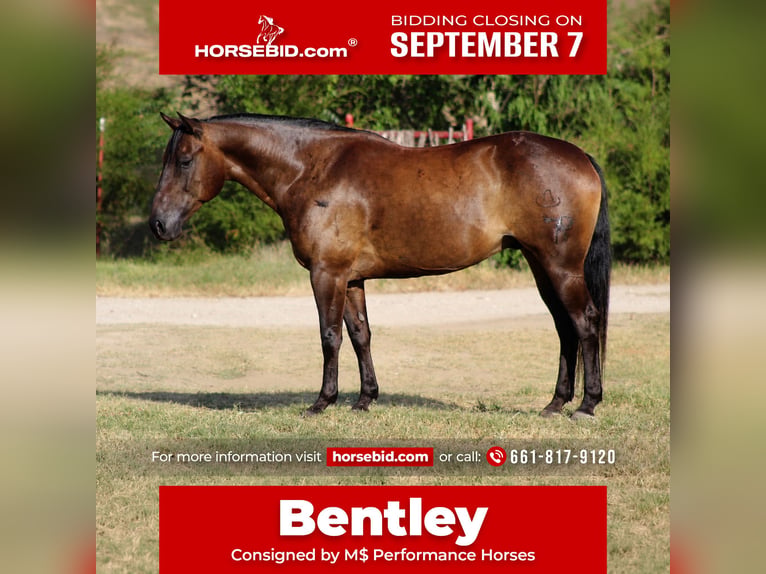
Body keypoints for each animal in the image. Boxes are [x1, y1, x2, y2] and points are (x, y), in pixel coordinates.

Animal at [150, 112, 611, 419]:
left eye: (184, 160)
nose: (158, 224)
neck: (312, 169)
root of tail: (580, 156)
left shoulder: (327, 274)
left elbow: (330, 336)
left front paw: (322, 402)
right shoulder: (352, 278)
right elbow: (360, 335)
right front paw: (365, 398)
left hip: (560, 267)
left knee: (585, 321)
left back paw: (586, 405)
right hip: (540, 265)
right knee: (564, 327)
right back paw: (555, 403)